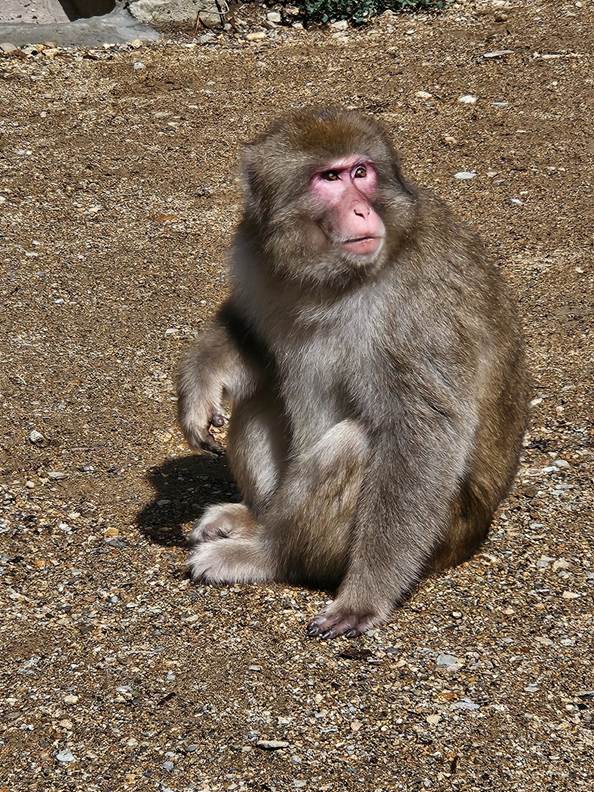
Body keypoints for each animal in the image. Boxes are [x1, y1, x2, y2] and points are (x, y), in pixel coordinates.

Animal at [177, 108, 529, 639]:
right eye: (329, 178)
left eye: (361, 172)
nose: (362, 212)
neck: (330, 277)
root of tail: (478, 532)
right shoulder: (254, 253)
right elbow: (249, 331)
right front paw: (201, 380)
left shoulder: (416, 308)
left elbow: (422, 433)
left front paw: (365, 598)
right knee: (262, 397)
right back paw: (254, 520)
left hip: (443, 535)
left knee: (357, 445)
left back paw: (268, 554)